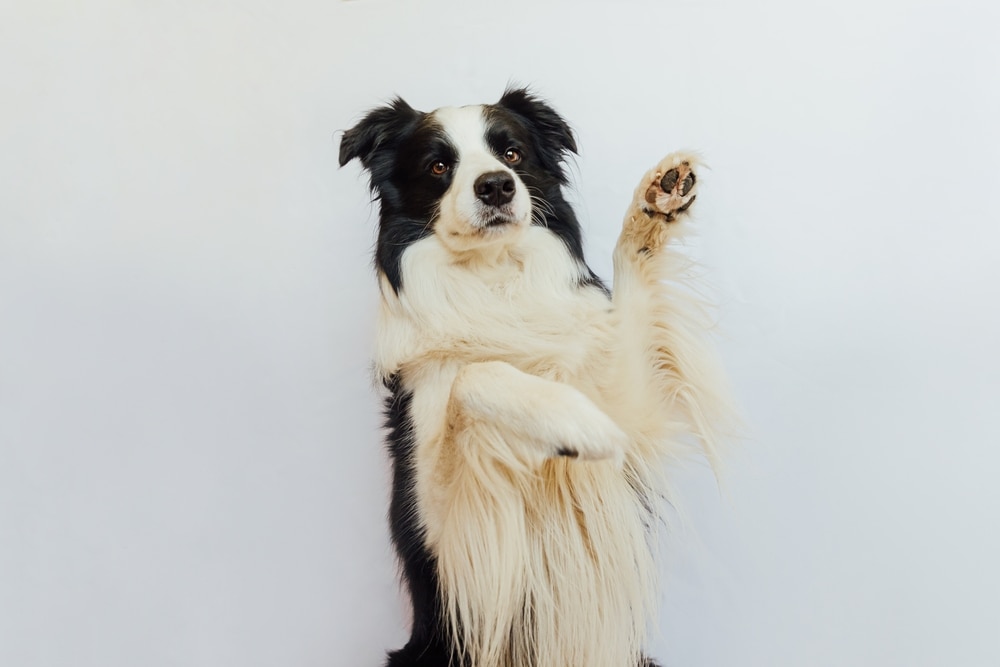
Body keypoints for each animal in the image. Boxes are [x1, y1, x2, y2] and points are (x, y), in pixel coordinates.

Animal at [340, 87, 732, 667]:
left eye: (512, 154)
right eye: (438, 166)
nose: (496, 185)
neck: (494, 274)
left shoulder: (628, 405)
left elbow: (631, 294)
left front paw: (655, 203)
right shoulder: (446, 537)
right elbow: (474, 376)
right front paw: (576, 425)